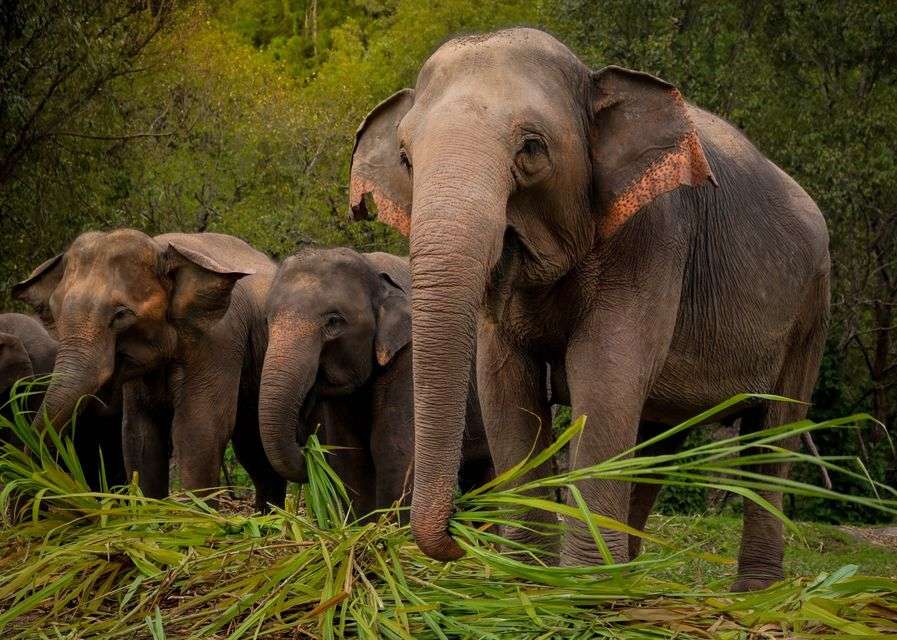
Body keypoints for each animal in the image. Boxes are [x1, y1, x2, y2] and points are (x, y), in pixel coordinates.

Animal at [259, 247, 493, 519]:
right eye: (267, 320)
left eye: (334, 321)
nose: (307, 449)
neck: (371, 267)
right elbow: (347, 453)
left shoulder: (411, 357)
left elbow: (393, 448)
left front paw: (390, 527)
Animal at [349, 28, 830, 591]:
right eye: (405, 158)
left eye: (531, 148)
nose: (456, 538)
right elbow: (505, 387)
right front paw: (530, 582)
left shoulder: (652, 234)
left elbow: (603, 375)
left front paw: (578, 588)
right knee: (655, 441)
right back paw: (629, 580)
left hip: (811, 309)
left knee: (773, 435)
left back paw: (752, 595)